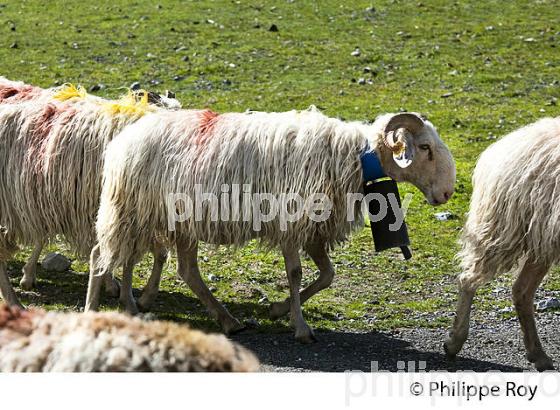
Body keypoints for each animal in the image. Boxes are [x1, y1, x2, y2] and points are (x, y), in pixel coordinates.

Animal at [86, 106, 456, 342]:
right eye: (425, 147)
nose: (448, 192)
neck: (354, 156)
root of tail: (124, 138)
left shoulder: (315, 229)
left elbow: (327, 274)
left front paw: (279, 310)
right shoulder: (292, 222)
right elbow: (296, 274)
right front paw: (301, 327)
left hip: (166, 218)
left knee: (176, 268)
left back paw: (212, 319)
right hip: (129, 209)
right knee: (100, 255)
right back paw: (94, 310)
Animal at [442, 116, 560, 372]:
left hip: (541, 238)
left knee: (521, 290)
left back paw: (538, 355)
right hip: (504, 229)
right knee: (468, 279)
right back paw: (454, 342)